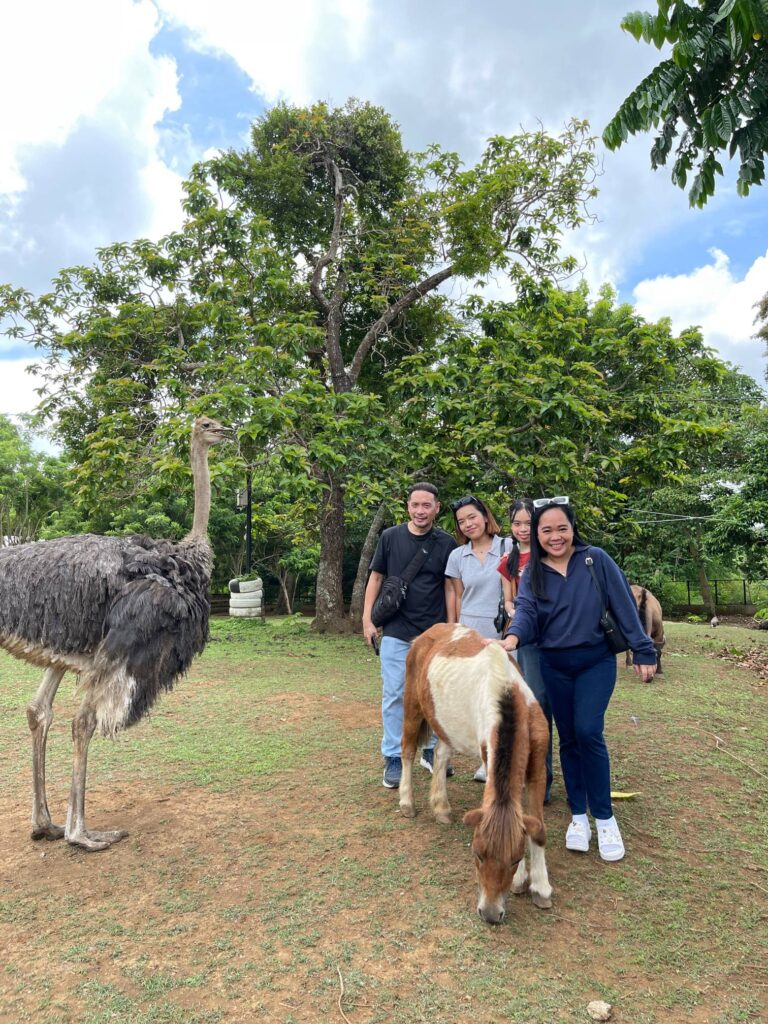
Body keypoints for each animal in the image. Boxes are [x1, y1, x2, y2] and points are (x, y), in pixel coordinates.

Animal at [397, 618, 552, 925]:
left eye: (515, 859)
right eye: (477, 854)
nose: (490, 913)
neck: (507, 695)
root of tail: (428, 634)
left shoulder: (537, 767)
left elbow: (536, 828)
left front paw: (540, 887)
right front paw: (522, 881)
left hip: (444, 722)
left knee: (441, 756)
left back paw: (441, 807)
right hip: (413, 705)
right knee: (407, 750)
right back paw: (407, 802)